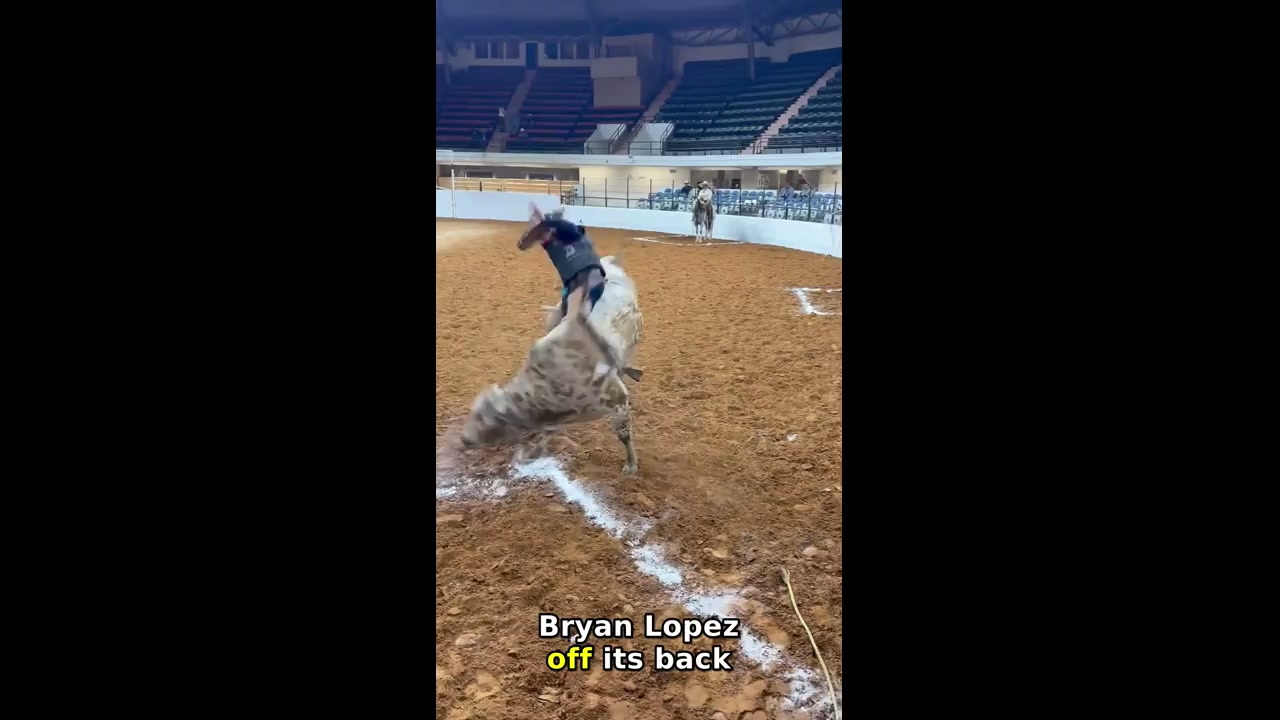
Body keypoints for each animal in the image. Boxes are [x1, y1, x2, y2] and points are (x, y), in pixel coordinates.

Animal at [459, 254, 645, 475]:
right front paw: (532, 454)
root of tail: (608, 263)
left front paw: (631, 464)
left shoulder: (617, 399)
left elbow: (623, 432)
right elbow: (546, 434)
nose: (463, 439)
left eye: (483, 418)